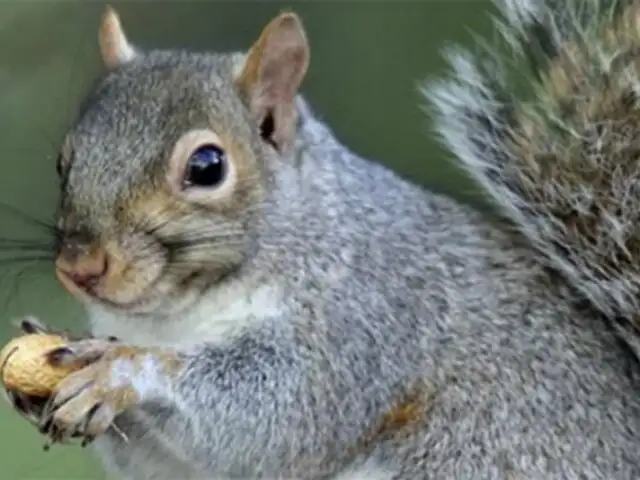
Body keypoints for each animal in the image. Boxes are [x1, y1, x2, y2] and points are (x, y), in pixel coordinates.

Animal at [3, 0, 640, 478]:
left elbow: (288, 413)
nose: (81, 266)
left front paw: (128, 371)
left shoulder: (363, 319)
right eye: (64, 161)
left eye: (207, 167)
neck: (175, 317)